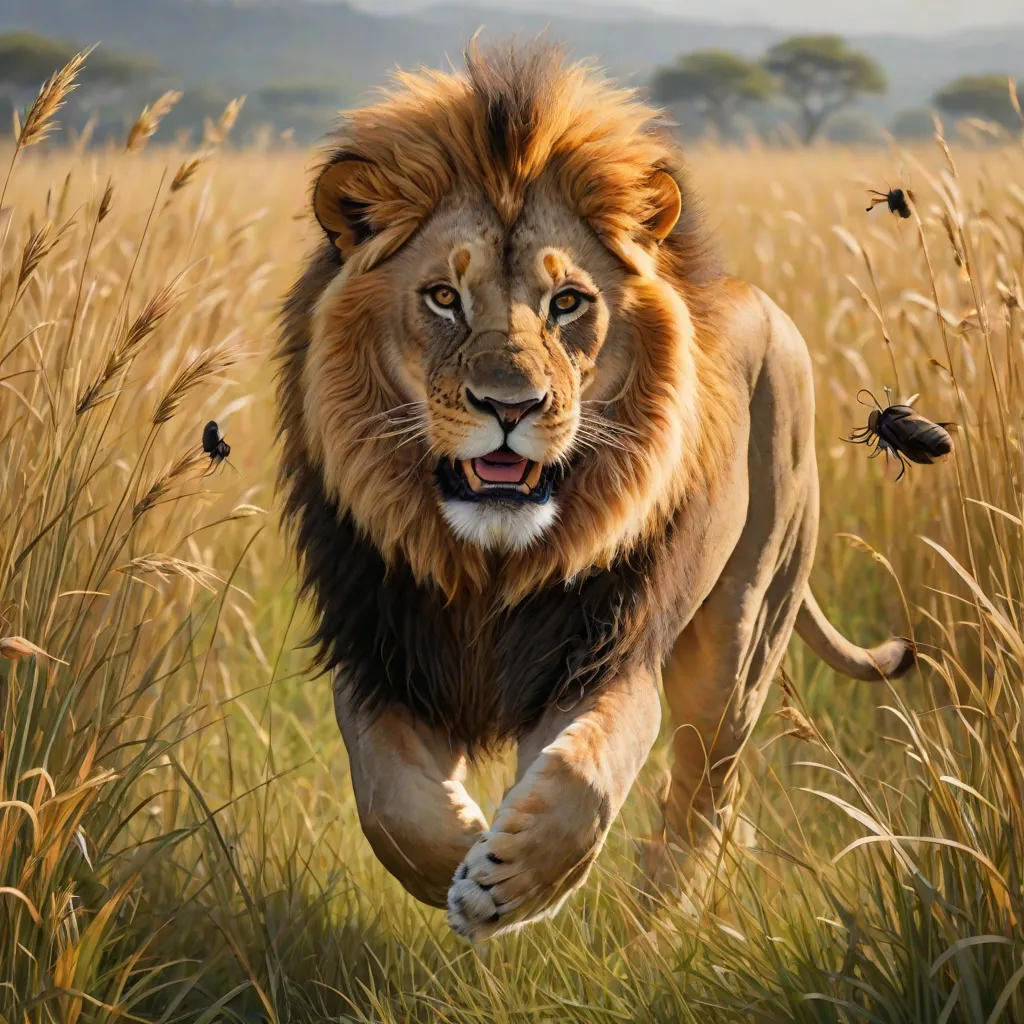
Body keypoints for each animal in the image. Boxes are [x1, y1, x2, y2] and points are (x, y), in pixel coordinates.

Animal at [276, 43, 914, 943]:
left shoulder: (607, 651)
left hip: (743, 631)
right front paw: (462, 858)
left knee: (706, 794)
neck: (489, 564)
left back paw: (654, 927)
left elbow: (582, 780)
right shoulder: (382, 652)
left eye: (568, 302)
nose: (510, 407)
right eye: (443, 297)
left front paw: (507, 881)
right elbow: (390, 804)